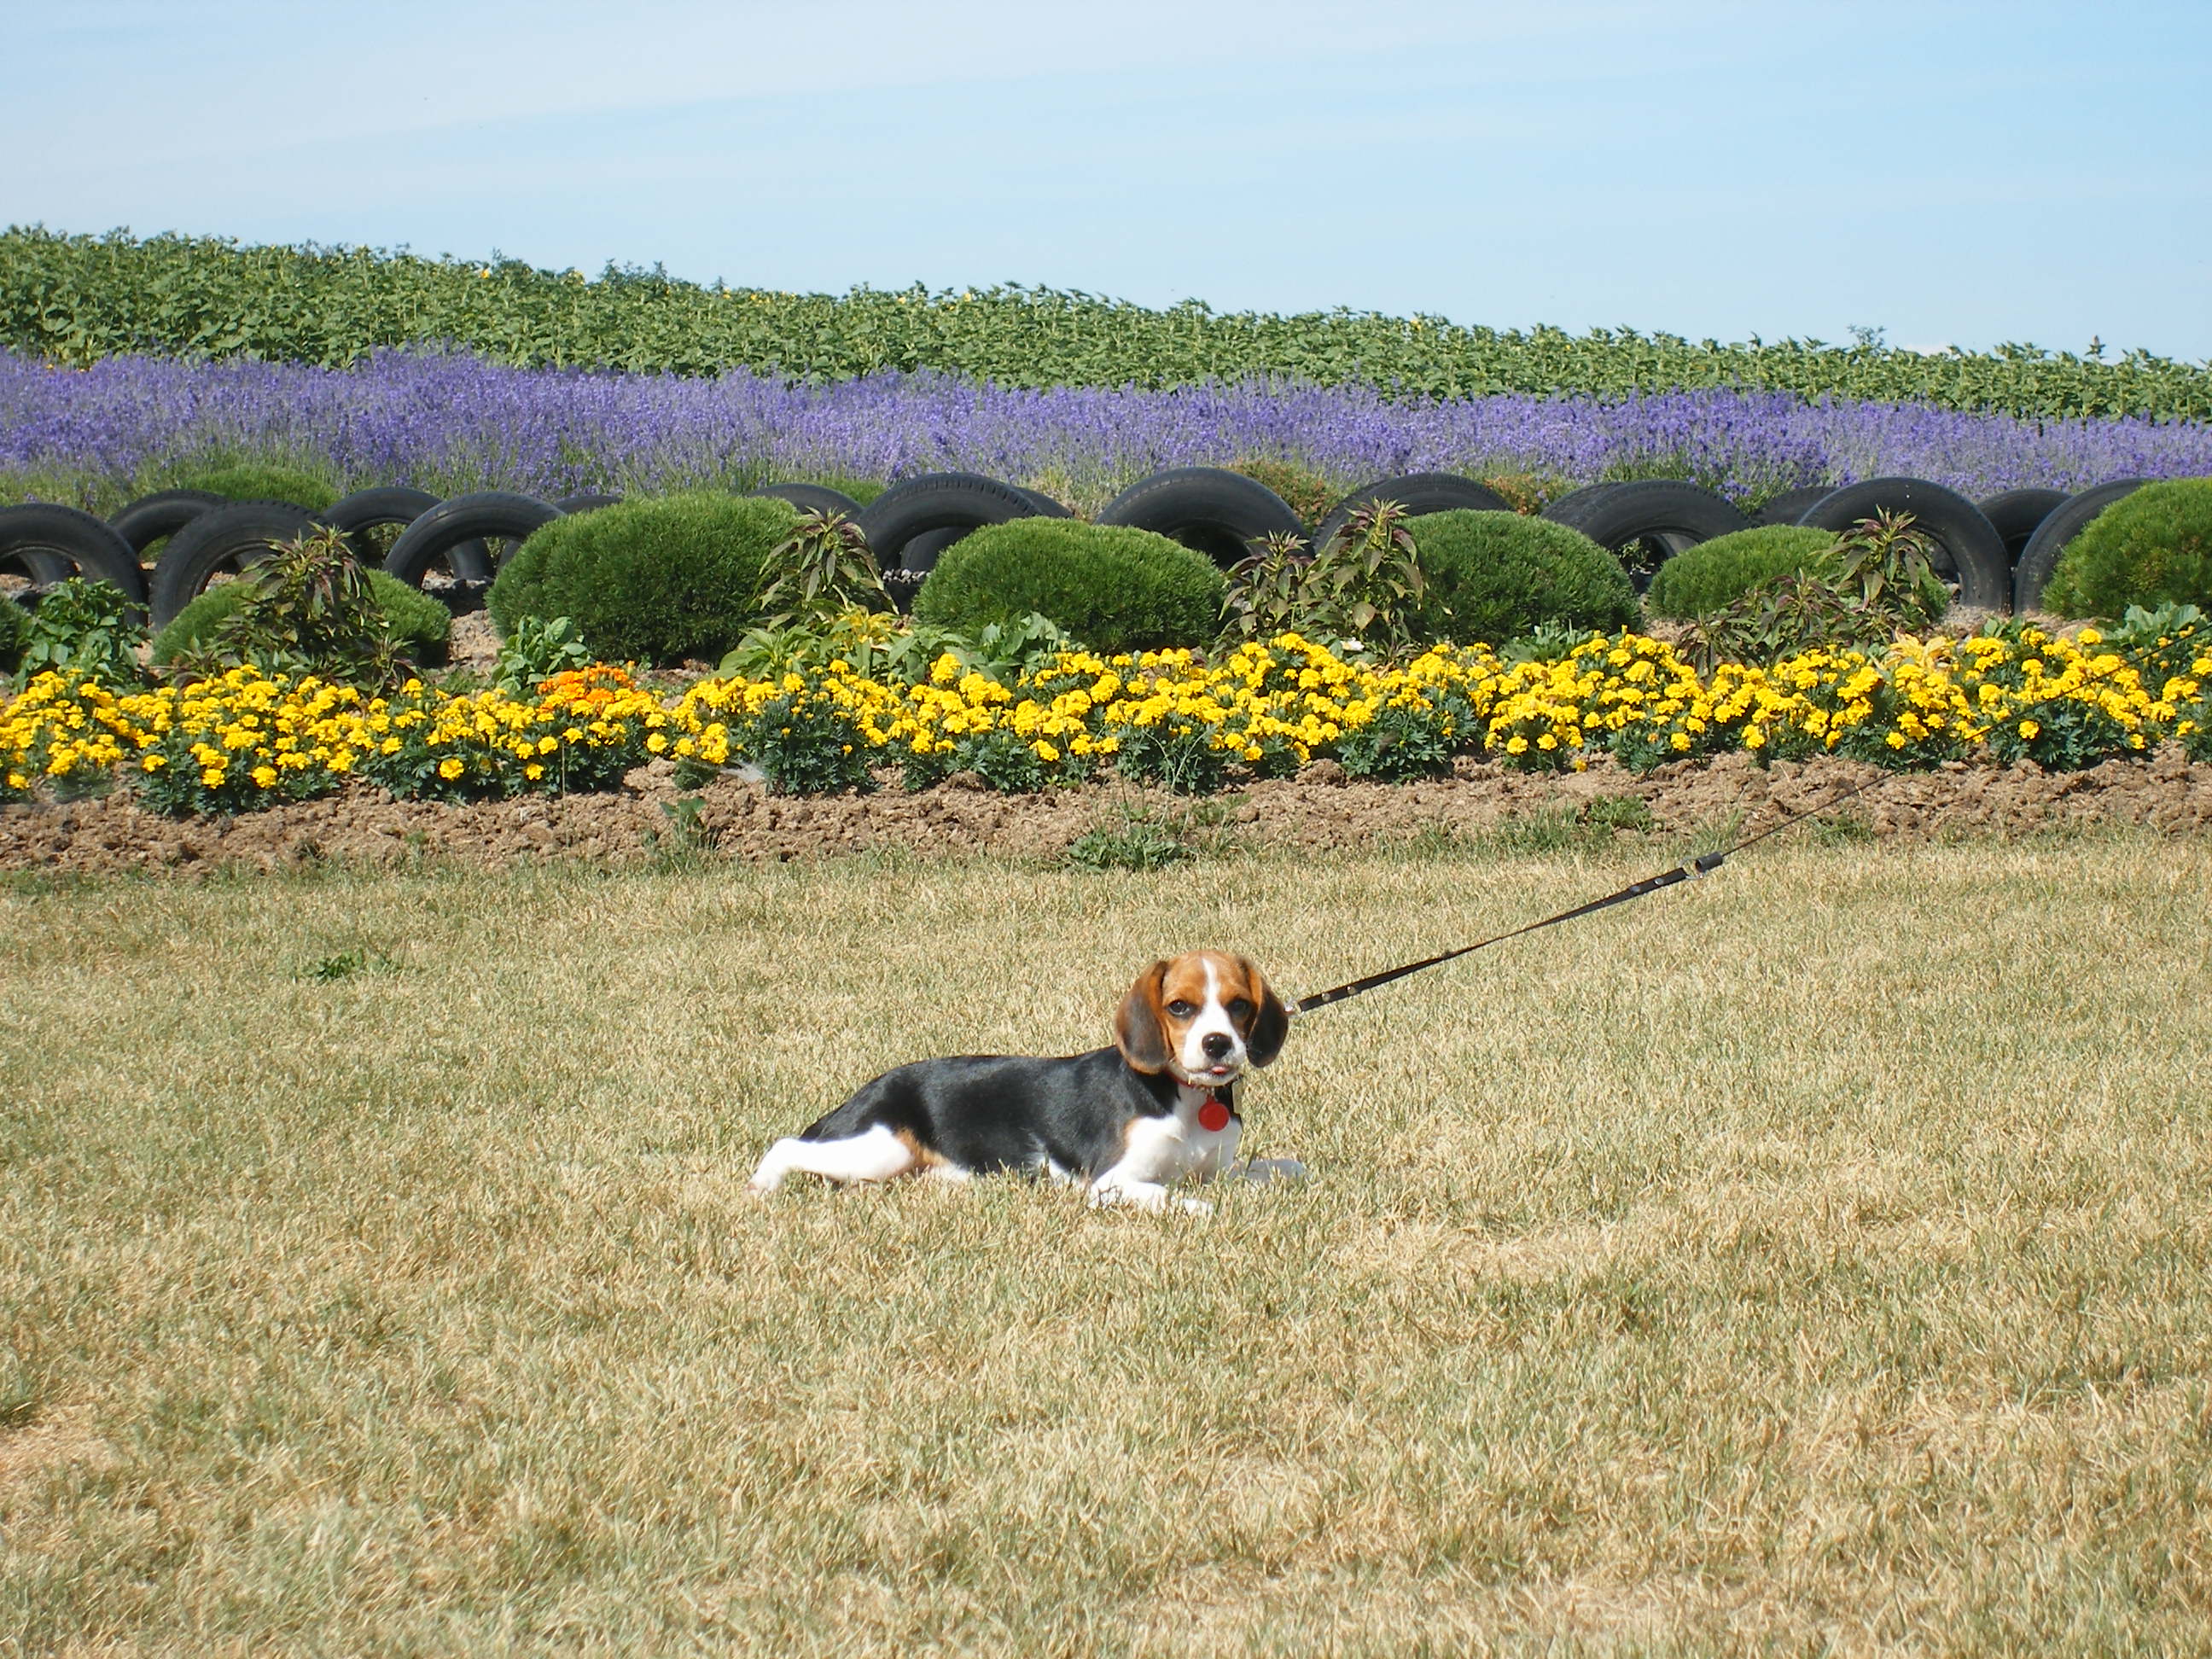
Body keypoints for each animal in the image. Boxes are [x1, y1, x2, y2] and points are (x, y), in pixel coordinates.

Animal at [748, 955, 1291, 1212]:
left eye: (1239, 1004)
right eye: (1180, 1006)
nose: (1218, 1044)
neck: (1187, 1098)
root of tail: (868, 1089)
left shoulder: (1219, 1168)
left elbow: (1279, 1168)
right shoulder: (1110, 1182)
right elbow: (1170, 1194)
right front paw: (1198, 1207)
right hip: (880, 1149)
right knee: (787, 1145)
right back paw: (762, 1187)